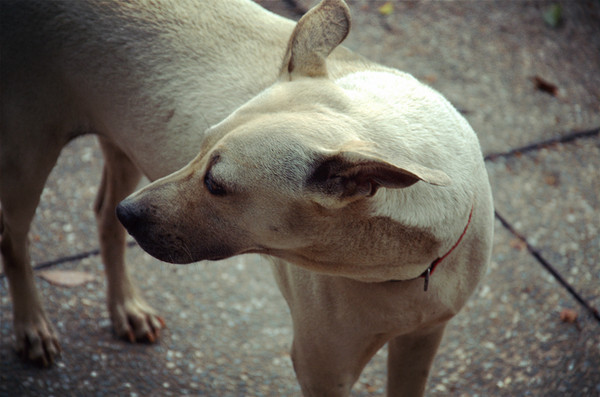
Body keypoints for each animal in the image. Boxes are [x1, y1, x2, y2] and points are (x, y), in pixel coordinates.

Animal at [2, 0, 494, 392]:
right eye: (200, 147)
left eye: (216, 185)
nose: (132, 214)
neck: (406, 265)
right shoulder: (322, 367)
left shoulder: (421, 341)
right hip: (28, 150)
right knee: (15, 237)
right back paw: (33, 326)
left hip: (120, 138)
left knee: (103, 215)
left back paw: (125, 305)